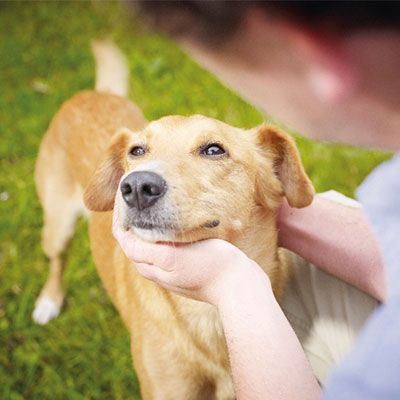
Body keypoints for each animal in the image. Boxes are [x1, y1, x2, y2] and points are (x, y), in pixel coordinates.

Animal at [32, 42, 314, 398]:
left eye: (214, 150)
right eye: (137, 151)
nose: (136, 187)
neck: (209, 313)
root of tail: (93, 93)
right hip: (57, 226)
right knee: (57, 259)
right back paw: (49, 301)